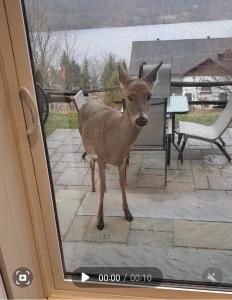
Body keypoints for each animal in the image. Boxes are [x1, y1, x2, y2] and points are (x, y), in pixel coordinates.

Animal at [77, 61, 162, 230]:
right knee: (92, 168)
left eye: (149, 96)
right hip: (88, 147)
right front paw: (100, 220)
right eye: (129, 97)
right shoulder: (101, 155)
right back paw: (93, 189)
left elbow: (122, 184)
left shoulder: (122, 160)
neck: (117, 143)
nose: (141, 119)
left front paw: (128, 213)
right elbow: (103, 183)